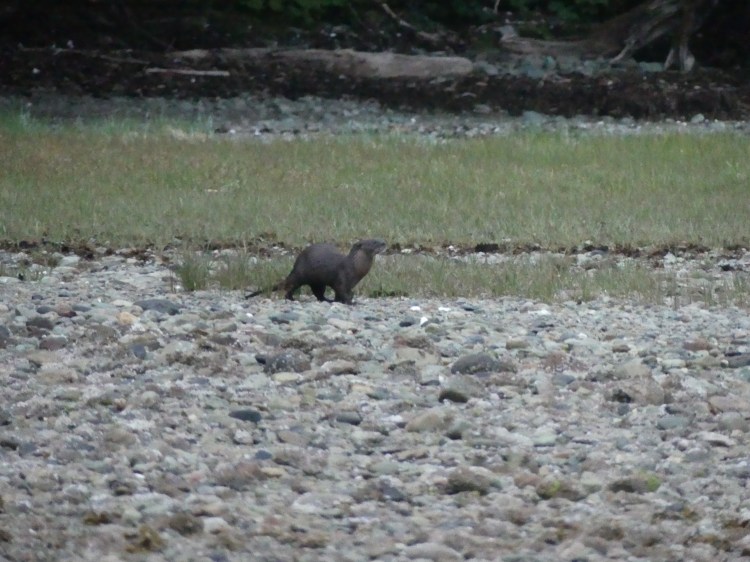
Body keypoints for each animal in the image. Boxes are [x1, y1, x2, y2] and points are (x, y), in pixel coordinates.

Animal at [246, 239, 386, 304]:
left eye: (379, 239)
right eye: (374, 242)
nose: (384, 243)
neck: (355, 268)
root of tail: (295, 266)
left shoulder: (350, 283)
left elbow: (342, 293)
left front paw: (340, 301)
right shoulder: (342, 278)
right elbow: (341, 290)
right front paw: (351, 302)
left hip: (318, 282)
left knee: (318, 294)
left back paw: (327, 300)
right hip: (300, 276)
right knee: (290, 288)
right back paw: (292, 299)